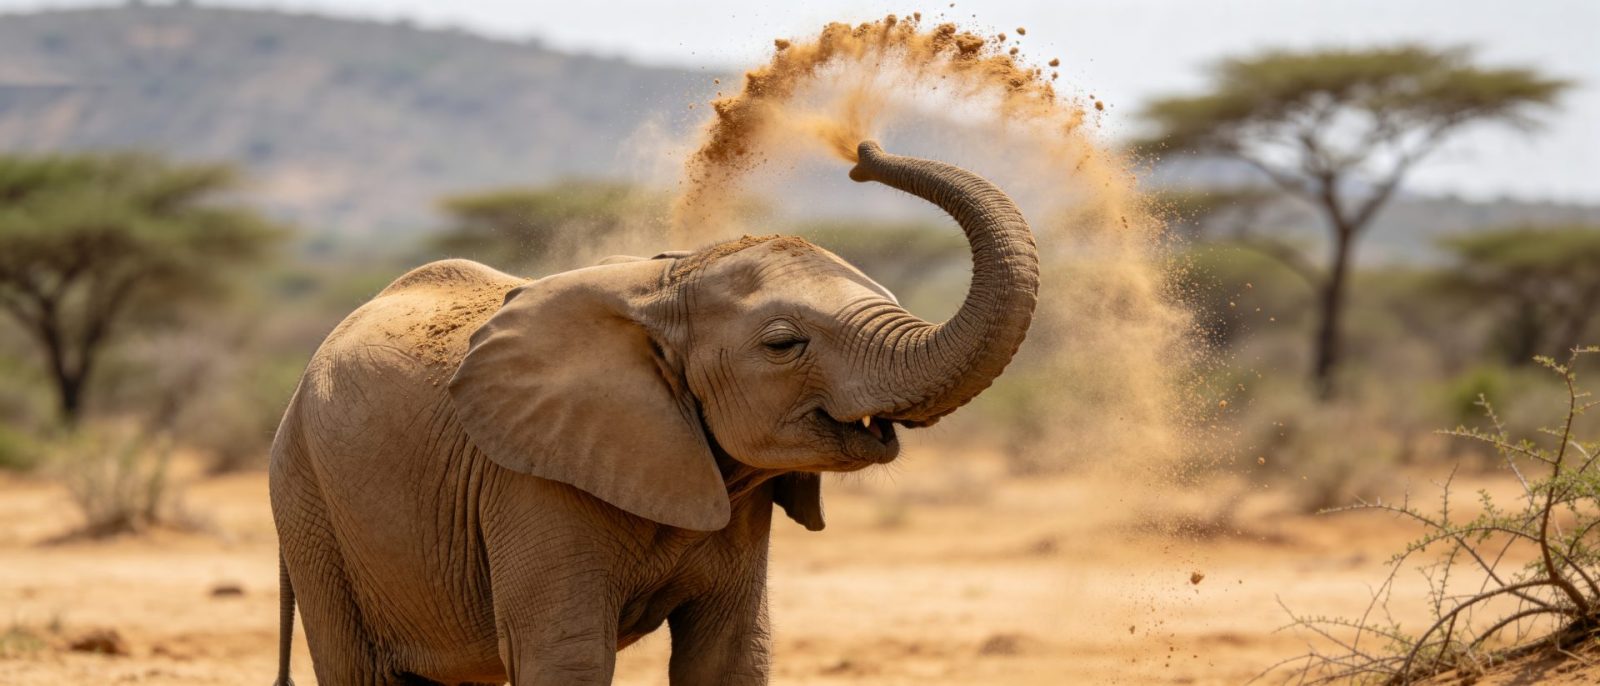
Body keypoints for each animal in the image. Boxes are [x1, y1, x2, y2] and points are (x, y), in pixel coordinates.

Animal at [269, 140, 1039, 686]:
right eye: (783, 344)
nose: (862, 152)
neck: (665, 284)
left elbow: (727, 657)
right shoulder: (530, 478)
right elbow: (567, 656)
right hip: (309, 504)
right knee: (357, 668)